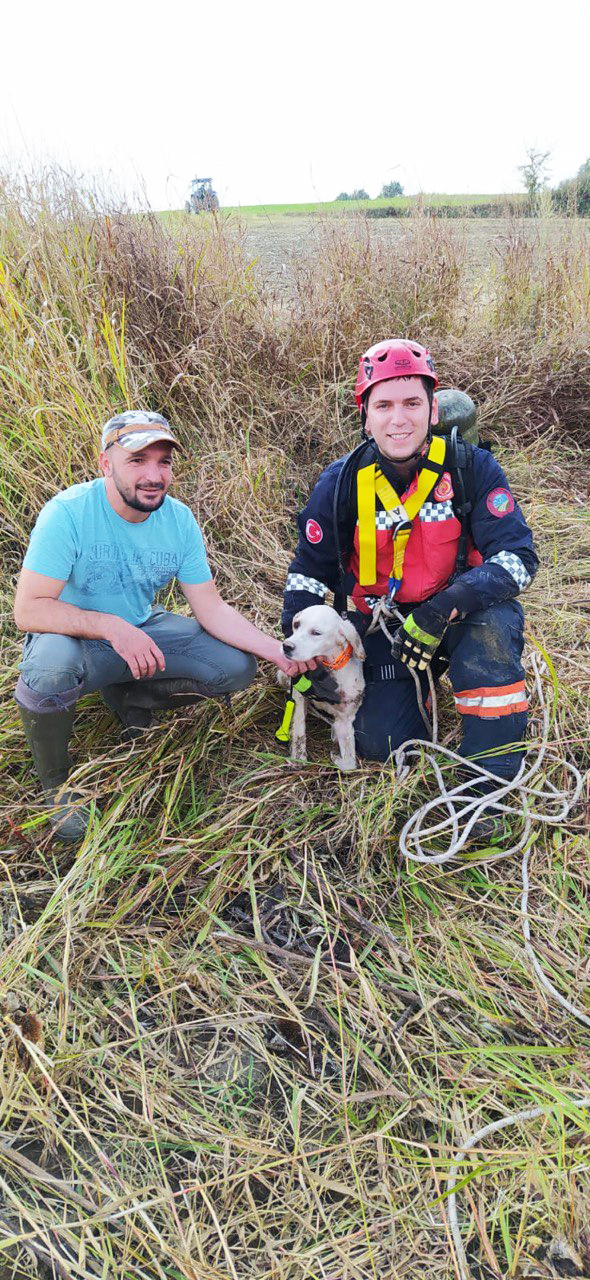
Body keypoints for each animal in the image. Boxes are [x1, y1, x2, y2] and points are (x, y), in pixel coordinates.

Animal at [279, 606, 363, 773]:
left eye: (316, 633)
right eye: (296, 624)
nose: (286, 646)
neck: (329, 669)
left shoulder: (345, 719)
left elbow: (350, 764)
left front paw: (337, 758)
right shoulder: (299, 695)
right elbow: (299, 727)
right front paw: (298, 757)